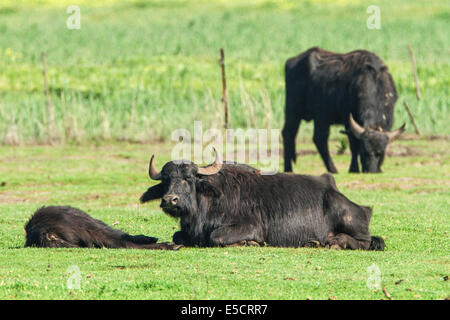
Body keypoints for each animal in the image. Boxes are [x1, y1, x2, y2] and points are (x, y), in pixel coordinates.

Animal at [140, 149, 384, 251]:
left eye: (188, 178)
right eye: (165, 180)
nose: (170, 200)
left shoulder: (250, 227)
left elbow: (216, 236)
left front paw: (249, 243)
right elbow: (177, 235)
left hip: (350, 219)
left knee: (367, 241)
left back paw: (336, 242)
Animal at [284, 46, 406, 174]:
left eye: (380, 153)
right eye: (364, 151)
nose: (370, 170)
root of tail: (293, 61)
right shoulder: (348, 120)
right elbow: (353, 145)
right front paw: (354, 168)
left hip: (321, 117)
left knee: (318, 138)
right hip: (294, 111)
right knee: (291, 134)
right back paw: (290, 168)